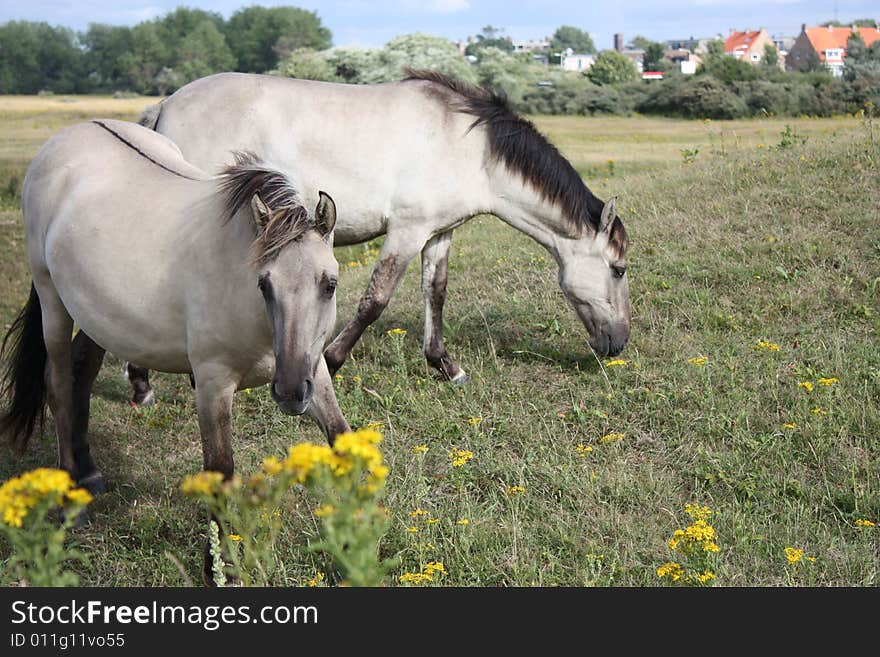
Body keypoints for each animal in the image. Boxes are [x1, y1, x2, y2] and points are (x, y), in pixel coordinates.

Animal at [127, 69, 628, 402]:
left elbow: (436, 293)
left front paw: (445, 365)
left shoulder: (438, 234)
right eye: (619, 269)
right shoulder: (406, 232)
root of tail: (165, 105)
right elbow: (375, 300)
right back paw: (144, 381)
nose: (618, 343)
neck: (471, 149)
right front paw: (331, 361)